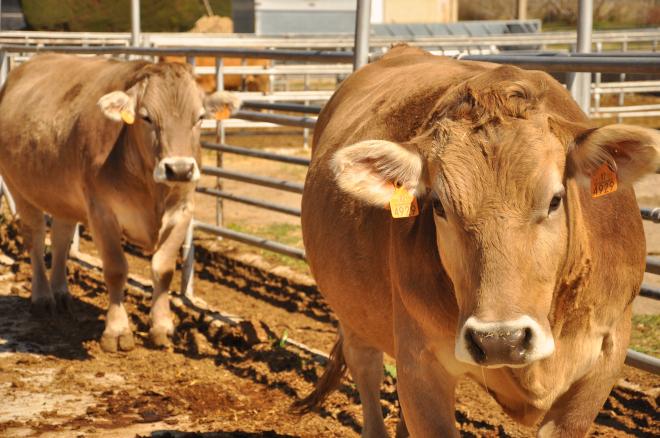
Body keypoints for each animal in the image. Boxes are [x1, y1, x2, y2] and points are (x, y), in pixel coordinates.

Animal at [0, 54, 241, 352]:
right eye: (146, 117)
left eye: (199, 118)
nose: (179, 169)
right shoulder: (101, 211)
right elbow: (115, 269)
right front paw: (116, 330)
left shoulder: (183, 211)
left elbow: (163, 269)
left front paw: (162, 326)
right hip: (19, 189)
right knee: (34, 239)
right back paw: (43, 297)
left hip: (64, 198)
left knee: (60, 240)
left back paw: (62, 293)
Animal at [300, 45, 660, 438]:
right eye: (438, 205)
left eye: (555, 200)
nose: (500, 339)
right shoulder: (419, 364)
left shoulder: (605, 359)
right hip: (352, 312)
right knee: (366, 367)